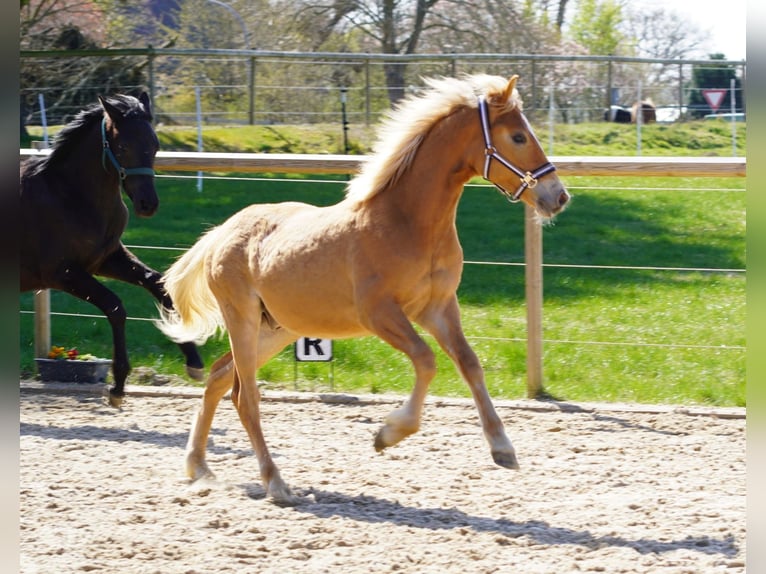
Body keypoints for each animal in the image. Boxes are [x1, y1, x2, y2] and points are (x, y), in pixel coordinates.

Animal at [20, 93, 204, 407]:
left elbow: (158, 283)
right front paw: (117, 385)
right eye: (124, 146)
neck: (71, 197)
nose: (147, 204)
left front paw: (193, 360)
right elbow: (115, 306)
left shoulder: (106, 259)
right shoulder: (61, 272)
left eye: (155, 145)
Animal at [157, 74, 570, 505]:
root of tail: (221, 232)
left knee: (219, 377)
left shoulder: (439, 307)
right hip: (243, 319)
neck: (408, 224)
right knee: (245, 395)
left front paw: (502, 448)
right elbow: (426, 360)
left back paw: (199, 467)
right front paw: (388, 434)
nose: (558, 196)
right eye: (518, 137)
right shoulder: (379, 313)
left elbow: (469, 363)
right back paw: (276, 482)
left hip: (276, 329)